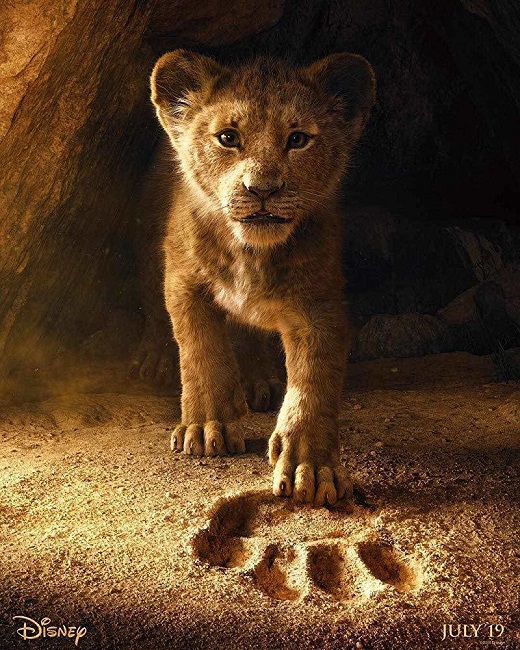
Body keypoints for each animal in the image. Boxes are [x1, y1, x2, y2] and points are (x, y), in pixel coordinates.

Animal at [135, 50, 375, 506]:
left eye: (298, 139)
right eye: (228, 138)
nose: (262, 189)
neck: (251, 252)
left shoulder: (319, 303)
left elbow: (314, 380)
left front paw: (310, 466)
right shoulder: (184, 281)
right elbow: (201, 351)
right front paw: (206, 427)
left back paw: (257, 380)